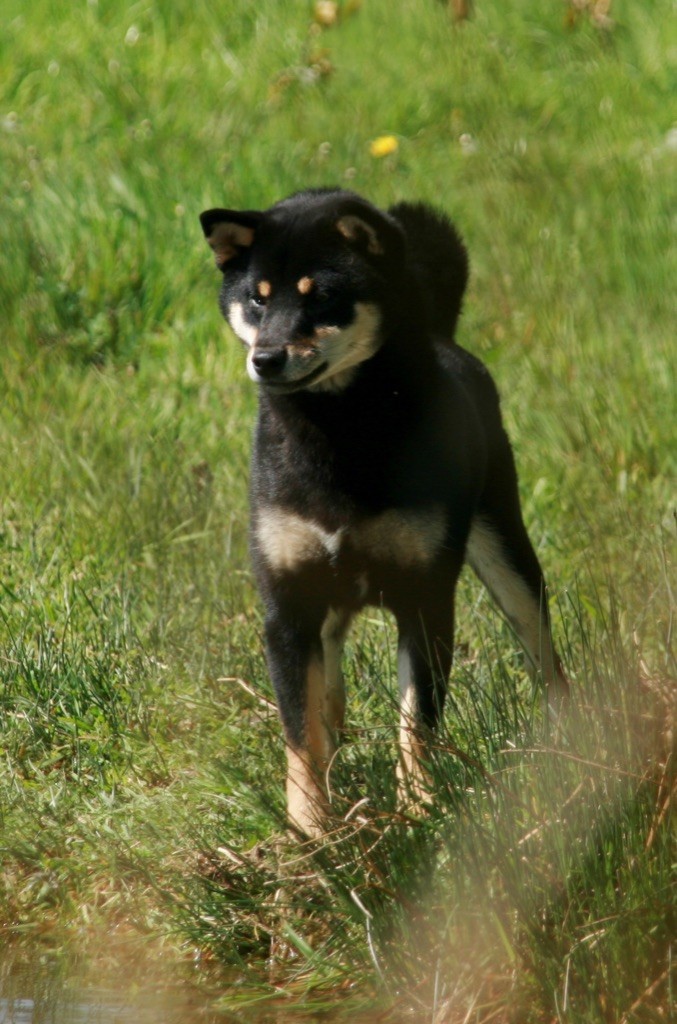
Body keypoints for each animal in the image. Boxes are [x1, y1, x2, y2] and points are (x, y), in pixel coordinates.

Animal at [199, 188, 565, 835]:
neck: (338, 432)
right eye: (257, 298)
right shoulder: (288, 607)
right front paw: (309, 832)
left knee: (544, 653)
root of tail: (445, 338)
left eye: (319, 295)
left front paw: (418, 812)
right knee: (329, 684)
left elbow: (415, 725)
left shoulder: (424, 600)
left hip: (506, 549)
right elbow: (300, 735)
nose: (266, 358)